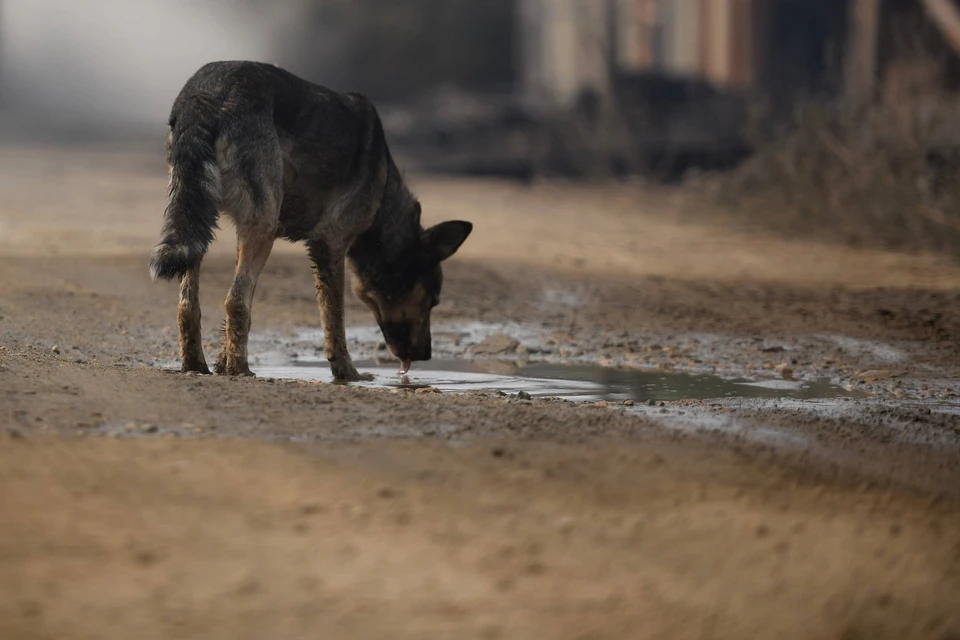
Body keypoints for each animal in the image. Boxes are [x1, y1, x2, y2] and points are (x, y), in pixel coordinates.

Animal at [148, 61, 474, 380]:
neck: (384, 196)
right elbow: (334, 318)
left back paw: (196, 365)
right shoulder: (330, 246)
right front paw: (347, 372)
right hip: (262, 227)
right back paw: (242, 370)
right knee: (236, 300)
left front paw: (221, 362)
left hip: (199, 221)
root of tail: (204, 95)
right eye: (432, 300)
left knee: (188, 306)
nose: (426, 356)